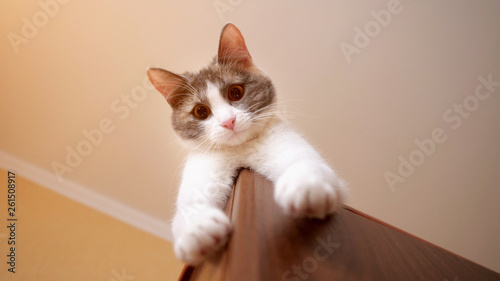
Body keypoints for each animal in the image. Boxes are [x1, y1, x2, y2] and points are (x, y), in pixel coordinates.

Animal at [146, 23, 346, 264]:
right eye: (201, 111)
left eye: (235, 92)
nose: (228, 122)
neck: (240, 151)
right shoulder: (203, 164)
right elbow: (190, 201)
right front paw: (197, 228)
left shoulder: (282, 138)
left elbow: (304, 159)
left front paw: (307, 183)